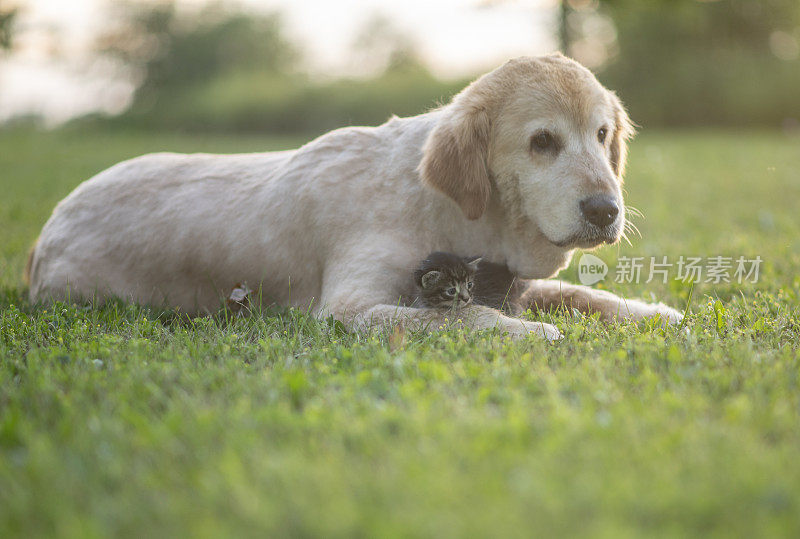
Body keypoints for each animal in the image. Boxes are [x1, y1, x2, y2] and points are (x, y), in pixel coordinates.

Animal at [28, 56, 684, 342]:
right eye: (542, 142)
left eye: (602, 135)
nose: (606, 210)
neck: (445, 211)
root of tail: (47, 229)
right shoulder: (350, 307)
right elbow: (458, 315)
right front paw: (528, 334)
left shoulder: (515, 279)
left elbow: (582, 294)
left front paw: (655, 313)